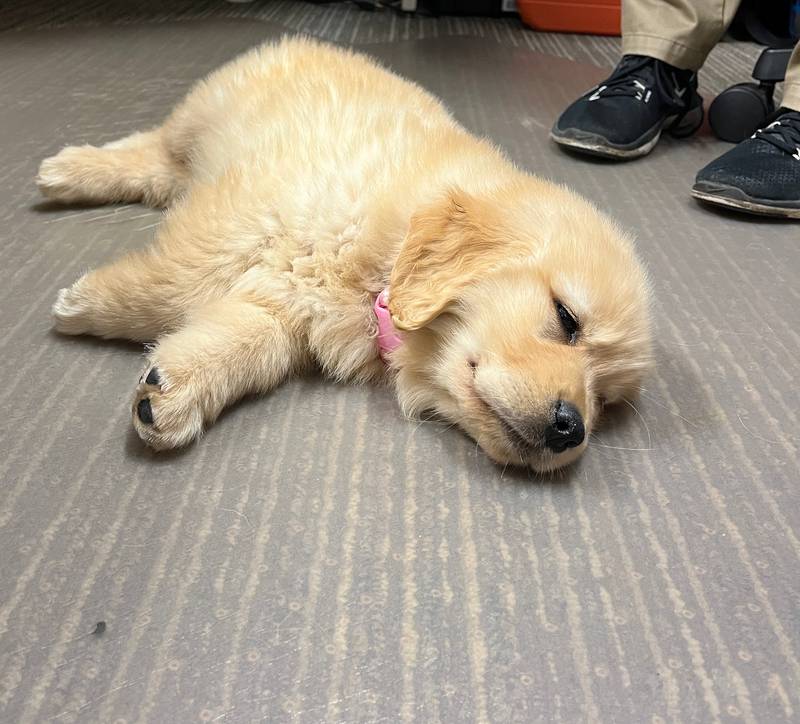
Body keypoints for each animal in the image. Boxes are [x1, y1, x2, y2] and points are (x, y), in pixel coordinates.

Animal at [36, 36, 648, 472]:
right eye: (567, 319)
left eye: (606, 400)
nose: (572, 429)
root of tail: (303, 39)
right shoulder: (247, 216)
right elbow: (175, 285)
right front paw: (82, 303)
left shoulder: (289, 304)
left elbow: (247, 342)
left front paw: (171, 392)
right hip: (200, 118)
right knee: (151, 151)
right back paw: (67, 169)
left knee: (157, 169)